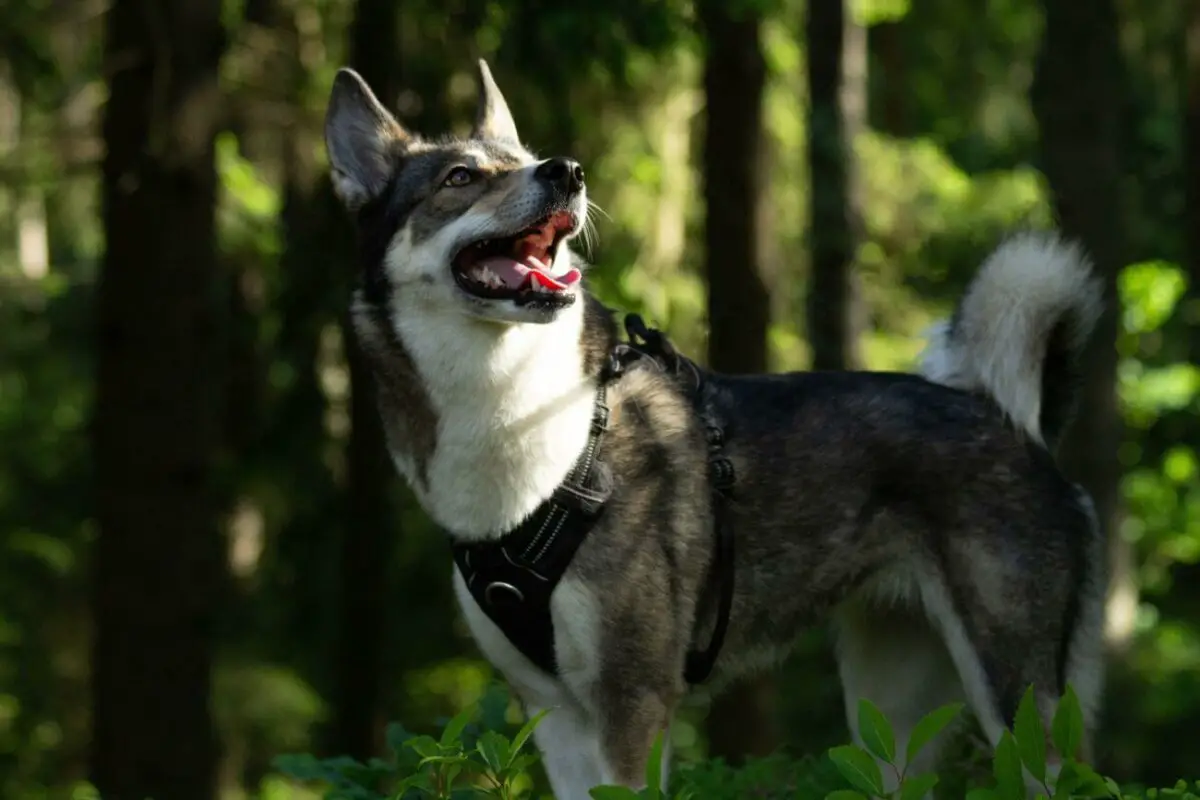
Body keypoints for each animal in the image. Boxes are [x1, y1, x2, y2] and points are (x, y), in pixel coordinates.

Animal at [326, 59, 1104, 796]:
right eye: (460, 177)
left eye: (528, 157)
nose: (567, 171)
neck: (531, 420)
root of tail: (1019, 428)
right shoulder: (554, 715)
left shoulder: (633, 702)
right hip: (892, 717)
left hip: (1019, 704)